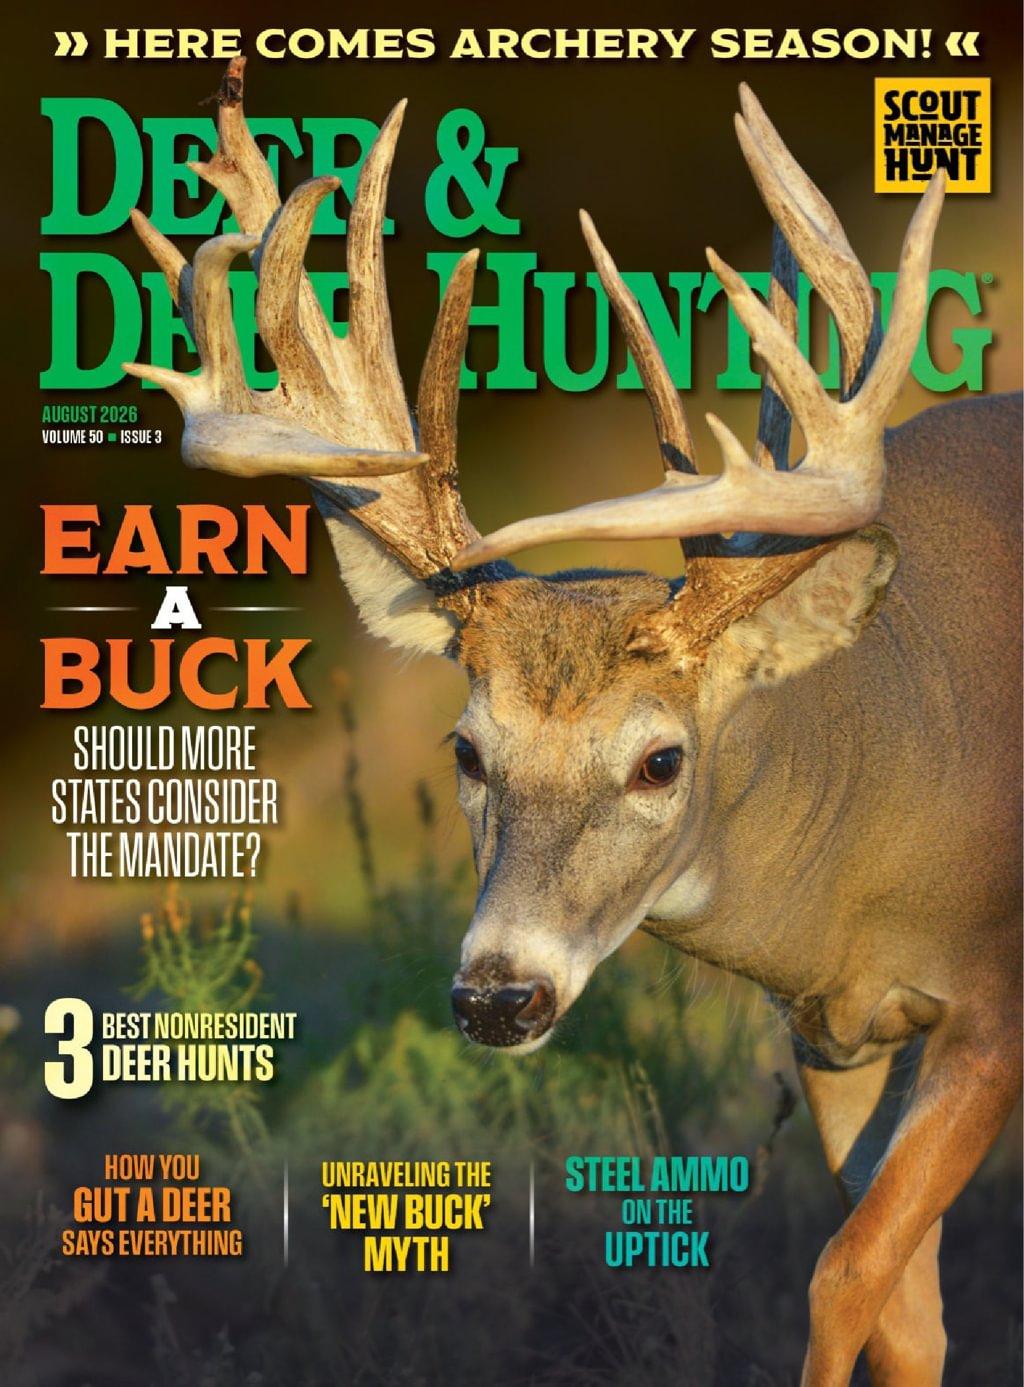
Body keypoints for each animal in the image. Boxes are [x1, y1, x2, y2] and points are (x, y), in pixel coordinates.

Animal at [126, 58, 1021, 1387]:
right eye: (465, 749)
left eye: (660, 759)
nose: (499, 996)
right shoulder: (833, 1035)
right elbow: (900, 1305)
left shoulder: (996, 999)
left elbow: (843, 1269)